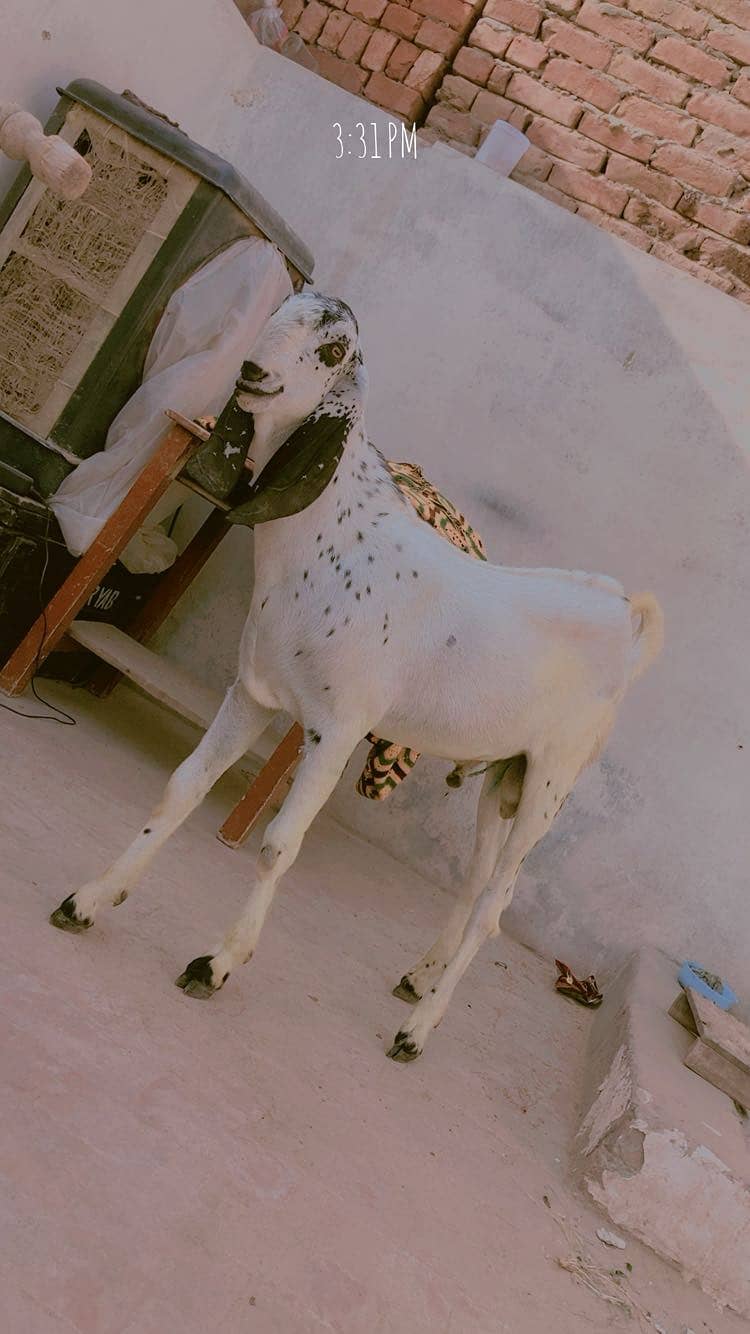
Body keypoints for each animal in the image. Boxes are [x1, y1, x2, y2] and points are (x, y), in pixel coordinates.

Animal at [51, 292, 664, 1062]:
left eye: (335, 350)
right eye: (281, 311)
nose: (252, 373)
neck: (334, 541)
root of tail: (624, 612)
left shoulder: (335, 730)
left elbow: (278, 845)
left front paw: (216, 964)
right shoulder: (253, 696)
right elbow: (181, 789)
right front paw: (91, 898)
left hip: (551, 784)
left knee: (496, 906)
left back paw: (416, 1031)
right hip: (505, 774)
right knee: (474, 884)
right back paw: (416, 978)